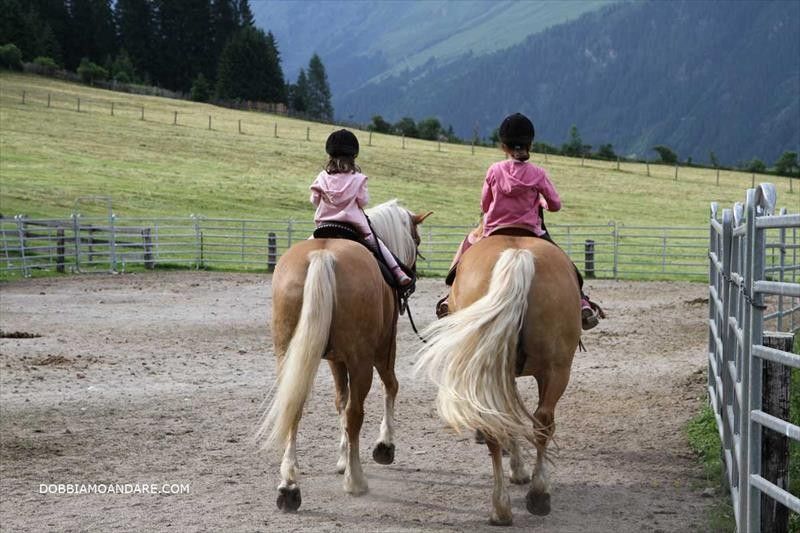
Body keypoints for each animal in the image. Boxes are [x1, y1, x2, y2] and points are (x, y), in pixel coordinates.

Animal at [257, 199, 432, 512]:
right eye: (417, 239)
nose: (411, 279)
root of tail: (322, 255)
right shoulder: (383, 347)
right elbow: (389, 387)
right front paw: (383, 446)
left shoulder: (335, 360)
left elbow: (340, 400)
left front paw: (342, 458)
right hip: (363, 360)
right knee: (356, 412)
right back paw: (356, 480)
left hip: (289, 357)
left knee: (295, 407)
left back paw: (289, 485)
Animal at [415, 233, 582, 526]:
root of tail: (517, 256)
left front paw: (516, 467)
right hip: (557, 369)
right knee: (542, 423)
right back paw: (537, 494)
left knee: (502, 424)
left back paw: (503, 506)